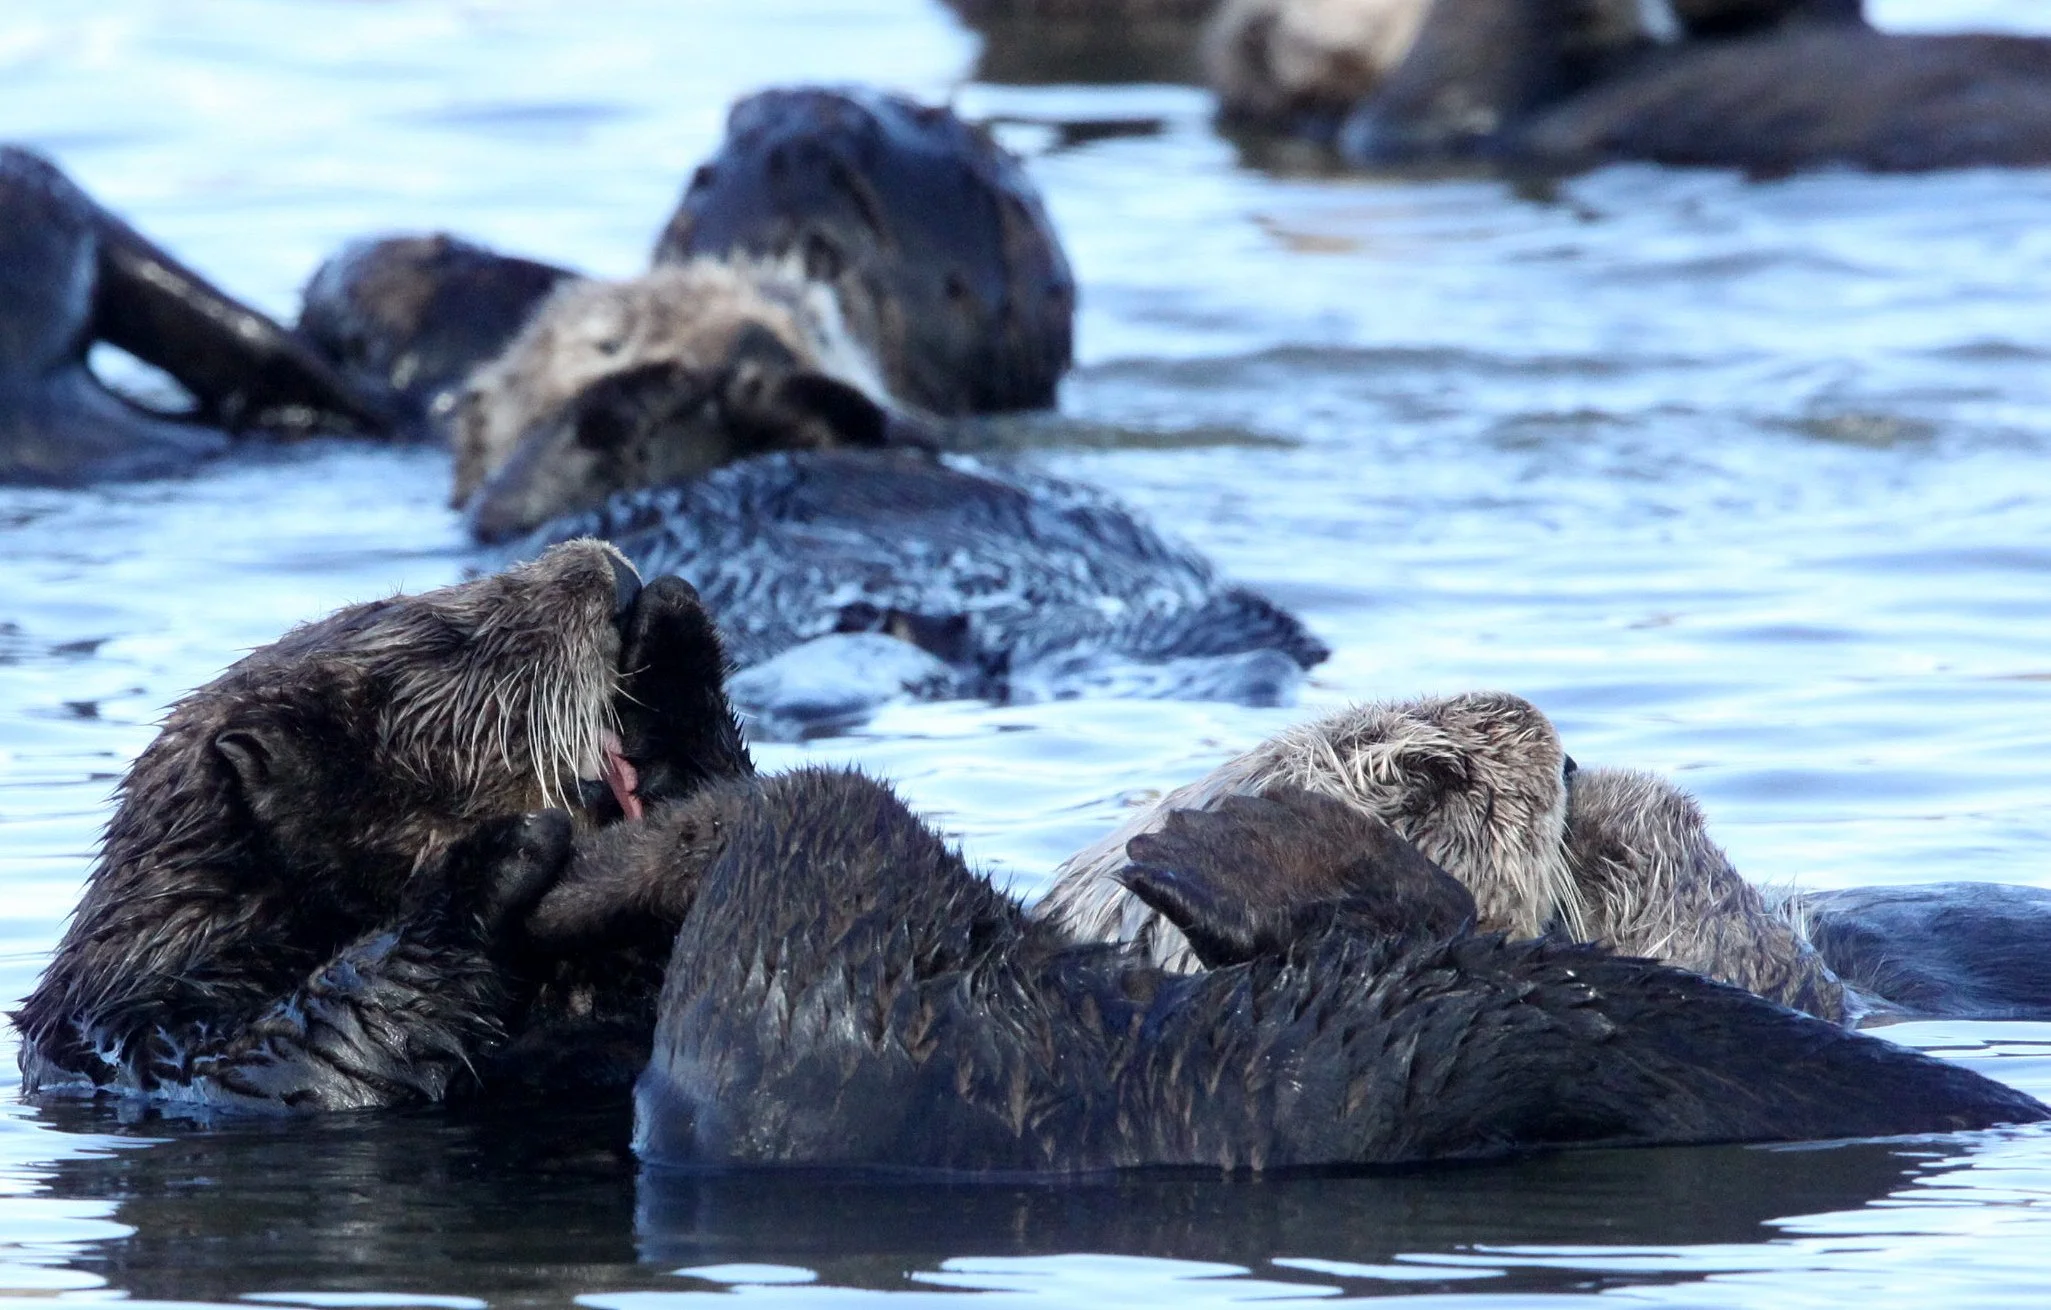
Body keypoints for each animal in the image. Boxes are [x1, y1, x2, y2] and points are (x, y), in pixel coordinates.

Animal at [13, 540, 754, 1109]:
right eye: (453, 641)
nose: (617, 576)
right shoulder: (143, 1038)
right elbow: (297, 1058)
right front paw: (497, 857)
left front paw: (672, 631)